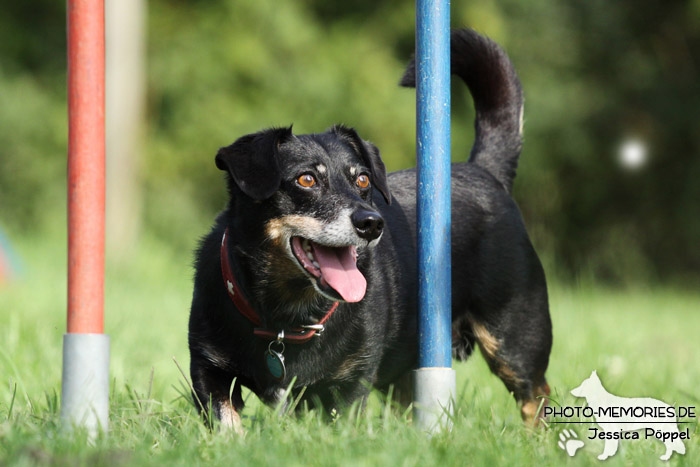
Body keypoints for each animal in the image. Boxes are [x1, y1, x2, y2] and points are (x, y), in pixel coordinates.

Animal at [190, 29, 552, 434]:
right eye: (306, 179)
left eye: (362, 179)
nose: (371, 222)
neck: (287, 317)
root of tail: (484, 171)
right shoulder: (207, 368)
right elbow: (224, 419)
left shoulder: (348, 385)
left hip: (514, 339)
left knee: (536, 396)